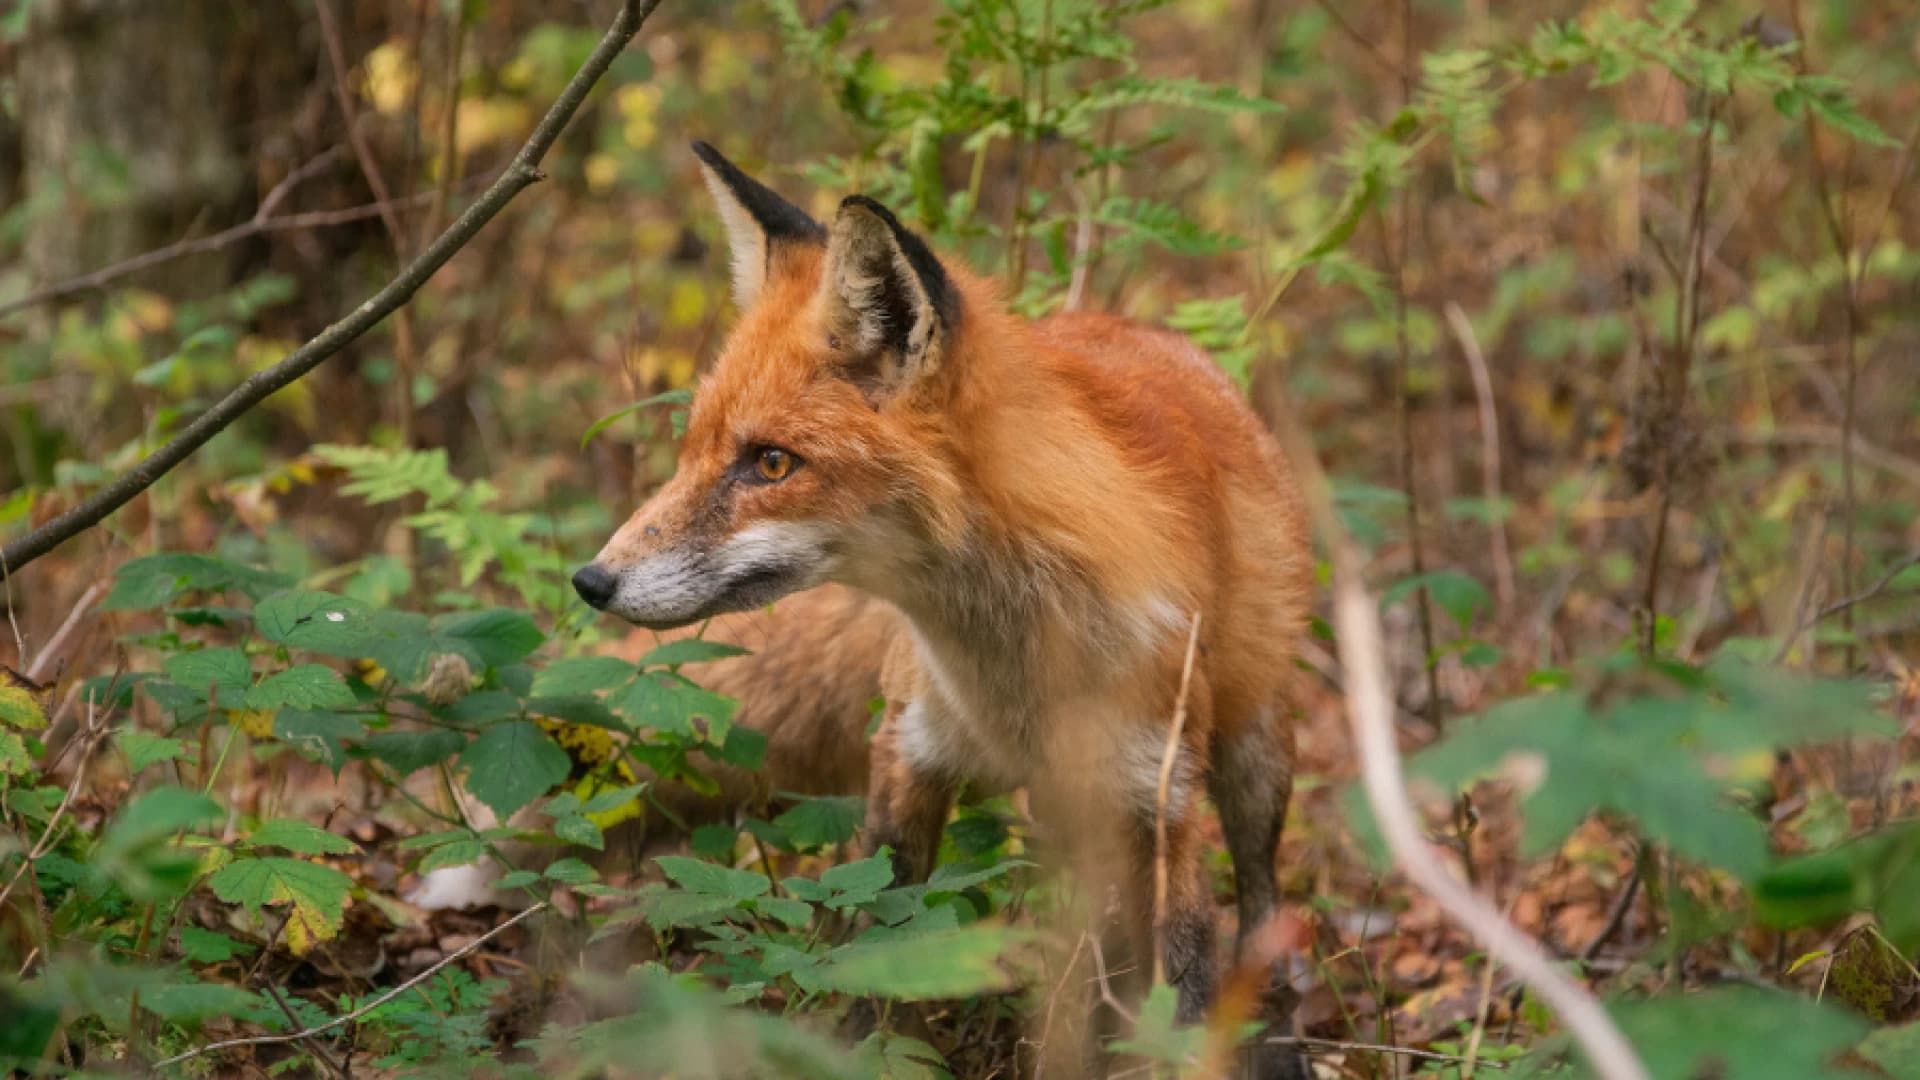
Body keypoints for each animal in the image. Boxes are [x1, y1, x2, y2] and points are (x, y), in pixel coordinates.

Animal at [576, 138, 1313, 1060]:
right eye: (692, 453)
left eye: (771, 463)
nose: (591, 581)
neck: (1011, 669)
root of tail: (1147, 330)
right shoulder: (908, 754)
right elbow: (876, 943)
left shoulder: (1165, 795)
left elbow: (1182, 984)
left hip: (1252, 758)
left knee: (1258, 891)